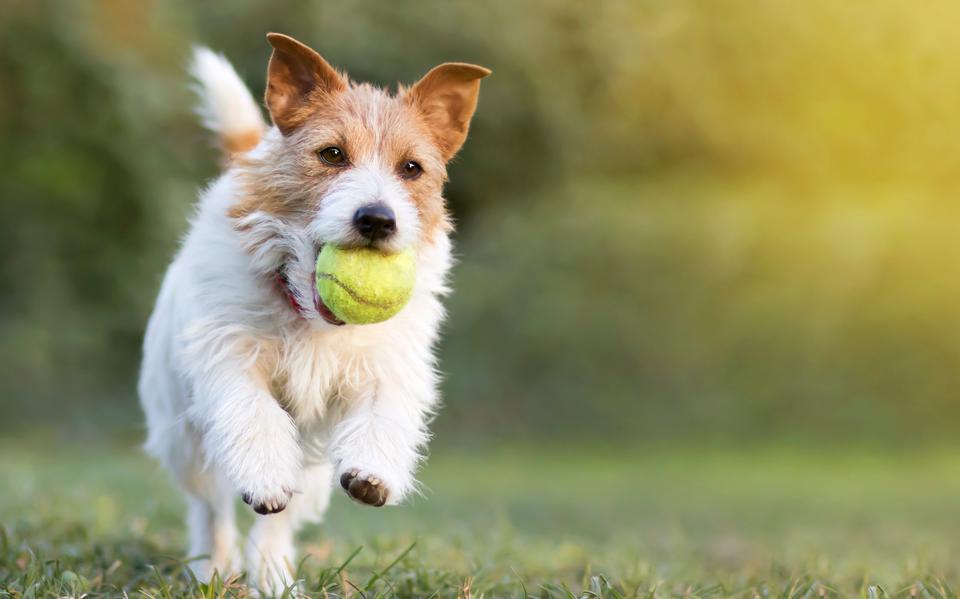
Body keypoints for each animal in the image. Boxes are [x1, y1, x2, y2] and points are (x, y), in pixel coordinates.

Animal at [137, 35, 488, 592]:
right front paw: (262, 475)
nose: (376, 219)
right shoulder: (228, 353)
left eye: (411, 168)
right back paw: (212, 567)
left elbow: (385, 408)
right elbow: (252, 411)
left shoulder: (385, 363)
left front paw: (374, 470)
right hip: (183, 436)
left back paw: (272, 576)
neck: (308, 315)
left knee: (279, 522)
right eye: (332, 154)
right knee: (211, 505)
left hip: (310, 464)